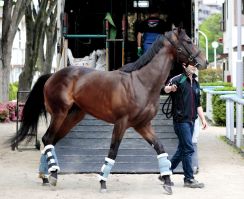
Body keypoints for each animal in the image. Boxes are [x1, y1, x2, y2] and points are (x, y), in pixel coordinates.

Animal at [10, 28, 207, 194]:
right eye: (188, 41)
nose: (203, 61)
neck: (141, 82)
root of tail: (52, 76)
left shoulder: (142, 125)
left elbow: (160, 148)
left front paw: (166, 182)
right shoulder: (121, 123)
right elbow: (113, 151)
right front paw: (103, 182)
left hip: (73, 117)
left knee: (51, 141)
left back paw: (46, 175)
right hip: (60, 114)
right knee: (47, 139)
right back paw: (52, 176)